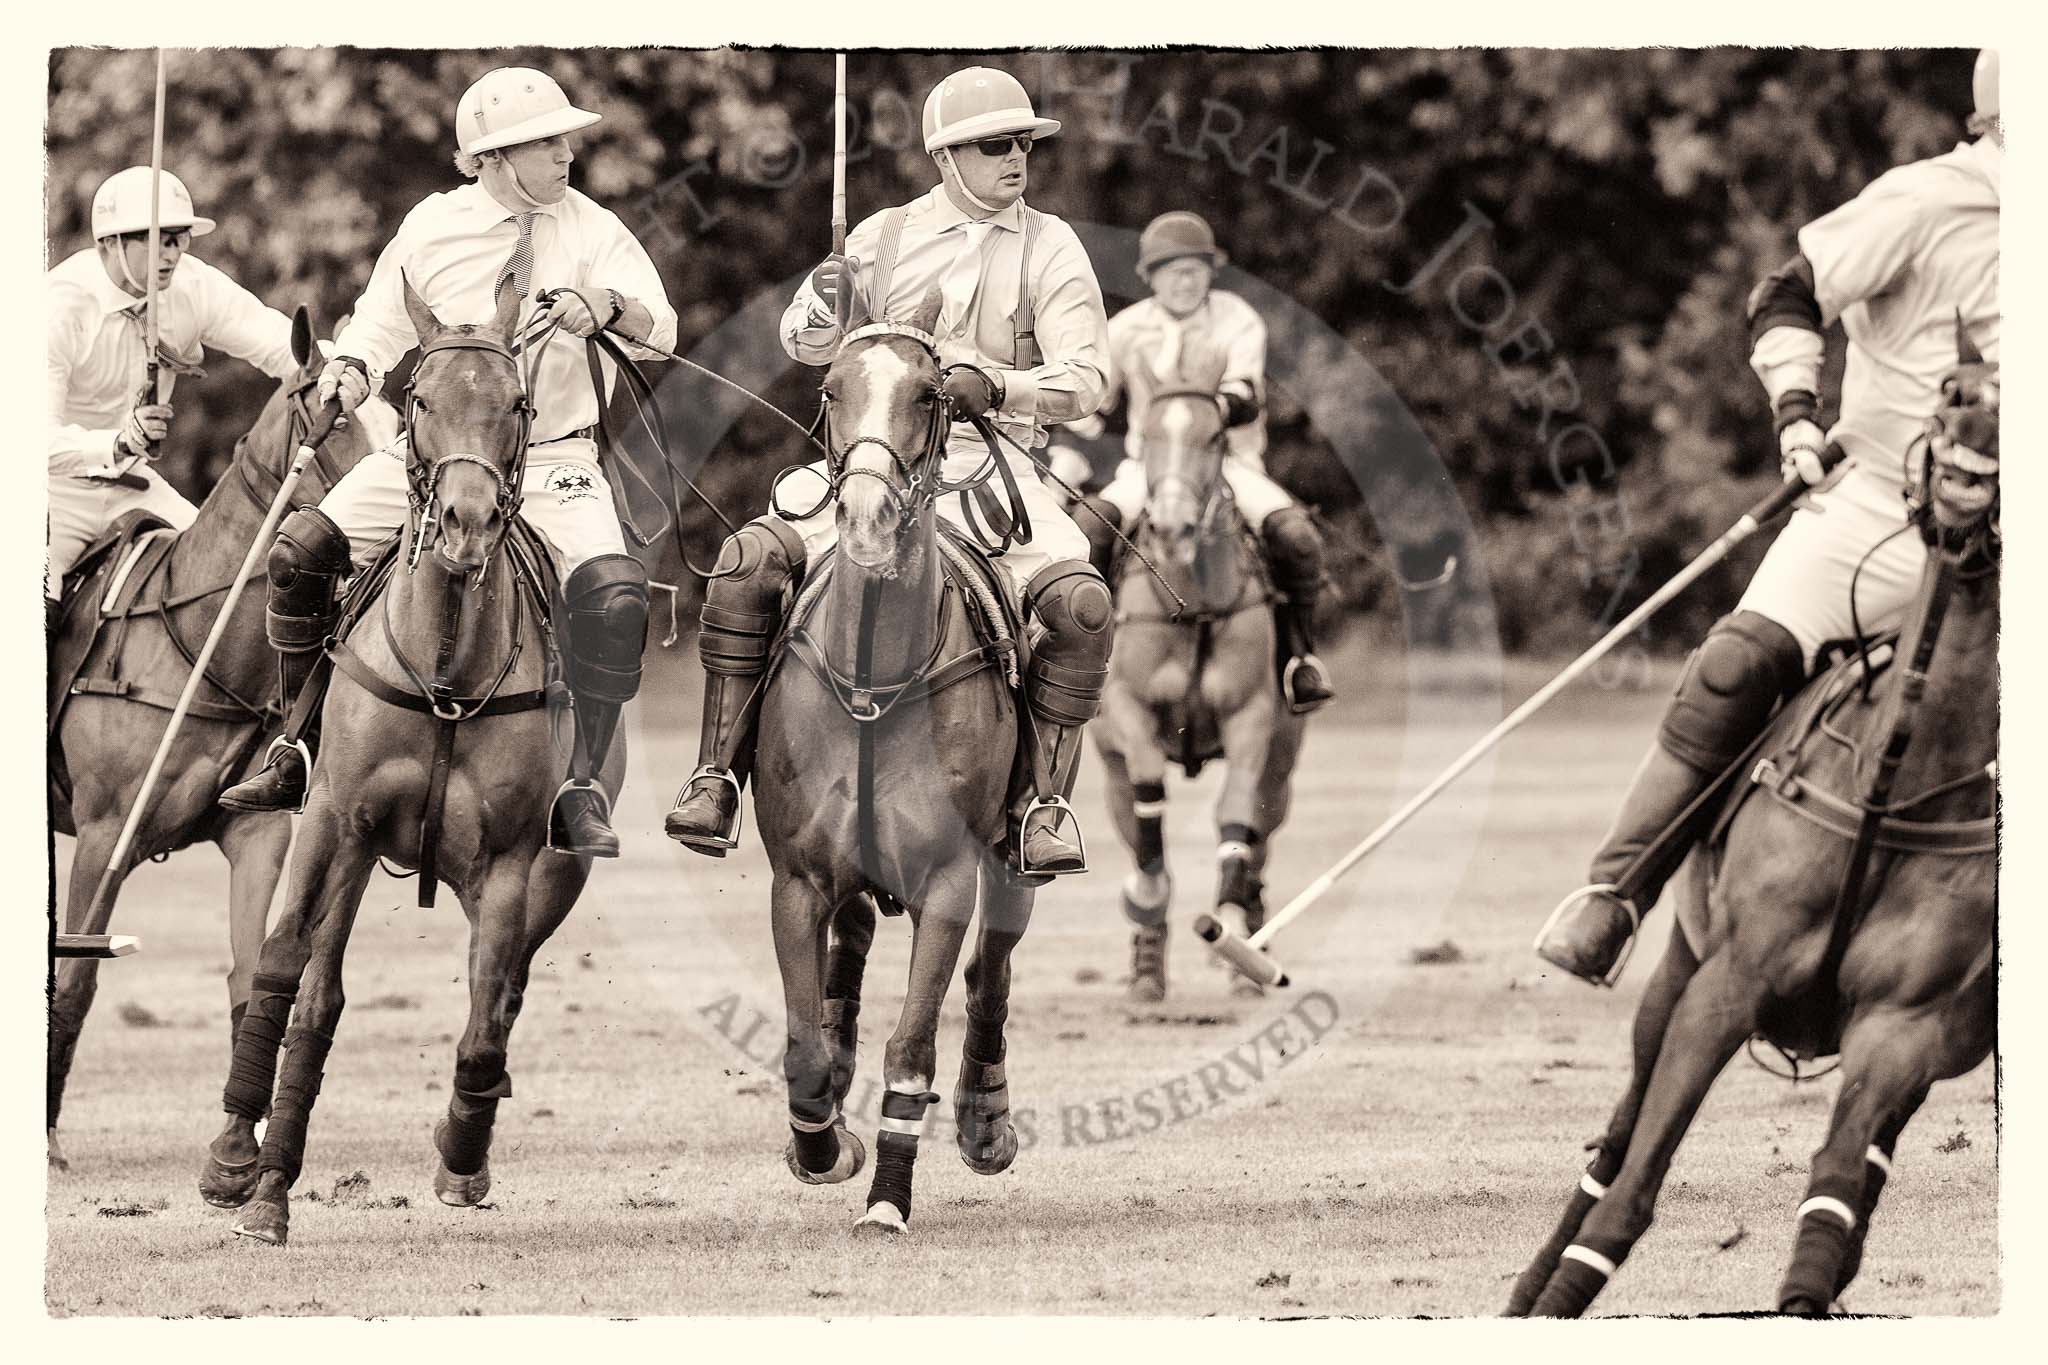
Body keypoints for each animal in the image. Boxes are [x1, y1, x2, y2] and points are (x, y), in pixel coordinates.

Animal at [47, 313, 391, 1178]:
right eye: (327, 417)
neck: (198, 641)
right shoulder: (103, 835)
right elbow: (76, 978)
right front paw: (48, 1136)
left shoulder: (256, 830)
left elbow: (249, 972)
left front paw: (238, 1147)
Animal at [198, 280, 614, 1252]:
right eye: (422, 399)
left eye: (518, 405)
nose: (464, 523)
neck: (447, 672)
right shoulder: (333, 822)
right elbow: (285, 975)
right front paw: (258, 1185)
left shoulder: (510, 864)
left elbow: (485, 1018)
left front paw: (462, 1154)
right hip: (348, 849)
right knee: (314, 990)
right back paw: (242, 1154)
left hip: (547, 877)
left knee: (501, 998)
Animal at [753, 298, 1040, 1236]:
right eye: (831, 389)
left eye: (929, 393)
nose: (868, 519)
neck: (875, 676)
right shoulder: (797, 877)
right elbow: (803, 1043)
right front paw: (823, 1147)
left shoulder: (948, 878)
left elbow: (913, 1045)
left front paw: (887, 1195)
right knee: (849, 952)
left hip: (1013, 854)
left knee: (992, 971)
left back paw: (986, 1119)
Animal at [1097, 341, 1302, 1002]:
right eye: (1150, 433)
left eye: (1214, 435)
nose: (1171, 528)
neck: (1193, 603)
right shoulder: (1128, 712)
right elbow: (1149, 801)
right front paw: (1148, 901)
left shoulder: (1252, 721)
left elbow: (1234, 818)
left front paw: (1233, 929)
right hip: (1107, 765)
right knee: (1134, 822)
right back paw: (1147, 962)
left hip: (1284, 763)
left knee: (1260, 834)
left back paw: (1250, 940)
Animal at [1515, 358, 1990, 1317]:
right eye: (1953, 396)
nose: (1969, 488)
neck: (1896, 774)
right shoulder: (1728, 983)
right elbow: (1627, 1193)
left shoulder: (1907, 1026)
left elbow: (1836, 1190)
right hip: (1674, 971)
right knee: (1616, 1144)